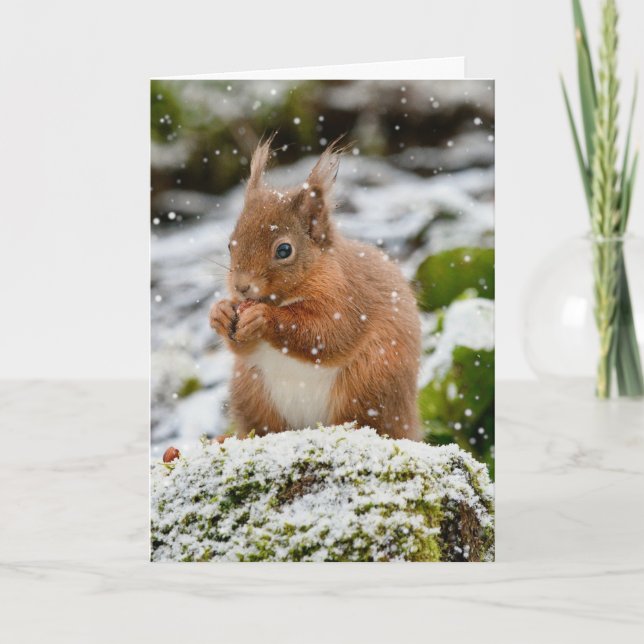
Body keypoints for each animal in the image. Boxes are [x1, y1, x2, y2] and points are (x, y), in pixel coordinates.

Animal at [209, 137, 422, 440]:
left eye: (284, 250)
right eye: (230, 244)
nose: (241, 287)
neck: (285, 298)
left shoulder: (348, 299)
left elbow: (327, 334)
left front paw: (263, 317)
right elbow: (243, 349)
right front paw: (221, 313)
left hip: (370, 382)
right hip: (251, 390)